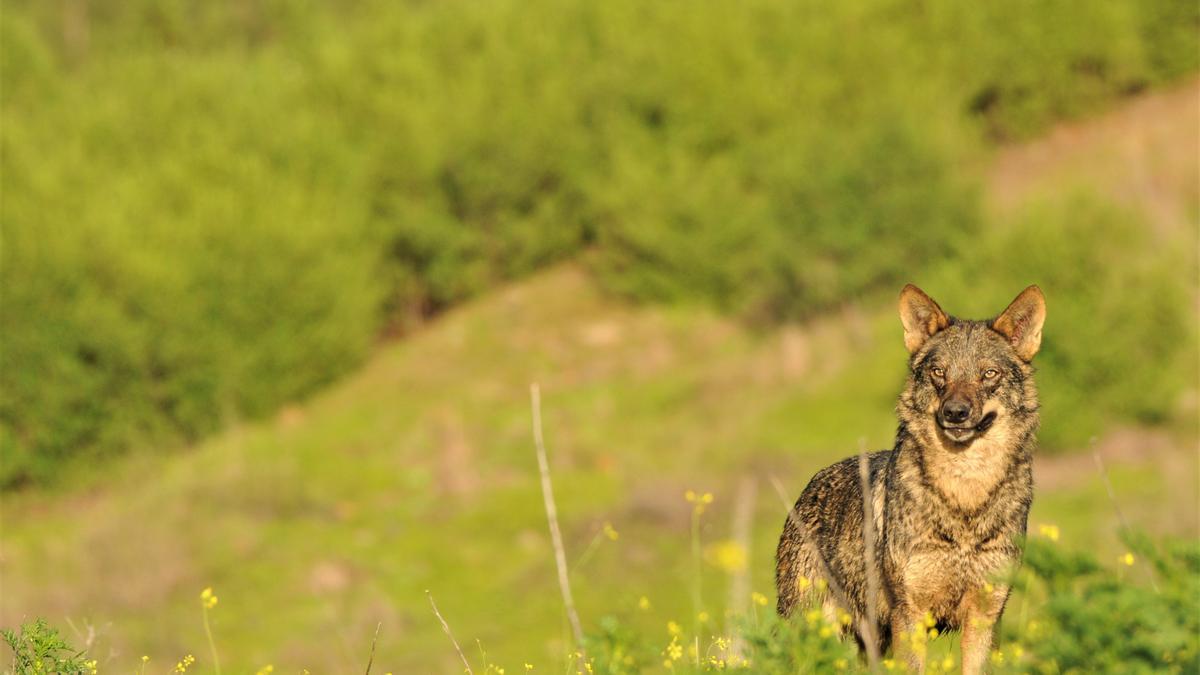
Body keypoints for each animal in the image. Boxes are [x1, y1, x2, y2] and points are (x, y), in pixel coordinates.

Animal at [772, 281, 1046, 667]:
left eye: (988, 374)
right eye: (939, 373)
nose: (955, 412)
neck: (964, 499)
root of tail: (808, 487)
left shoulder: (985, 618)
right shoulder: (911, 615)